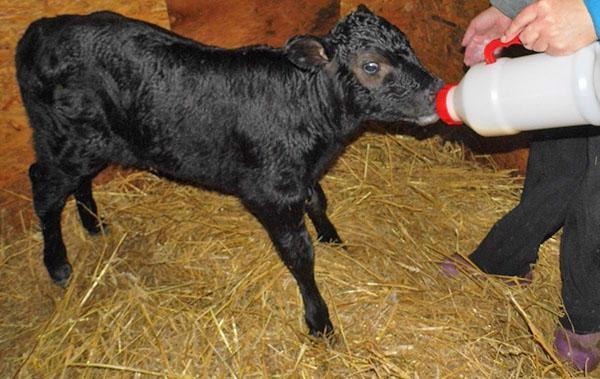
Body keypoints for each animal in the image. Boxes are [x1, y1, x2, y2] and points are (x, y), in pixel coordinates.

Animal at [16, 5, 442, 336]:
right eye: (371, 66)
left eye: (409, 46)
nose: (435, 90)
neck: (308, 107)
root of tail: (40, 29)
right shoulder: (270, 191)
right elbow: (299, 255)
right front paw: (319, 321)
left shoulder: (298, 175)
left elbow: (318, 200)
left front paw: (333, 238)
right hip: (63, 138)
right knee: (44, 187)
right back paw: (57, 264)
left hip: (91, 143)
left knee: (80, 182)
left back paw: (93, 224)